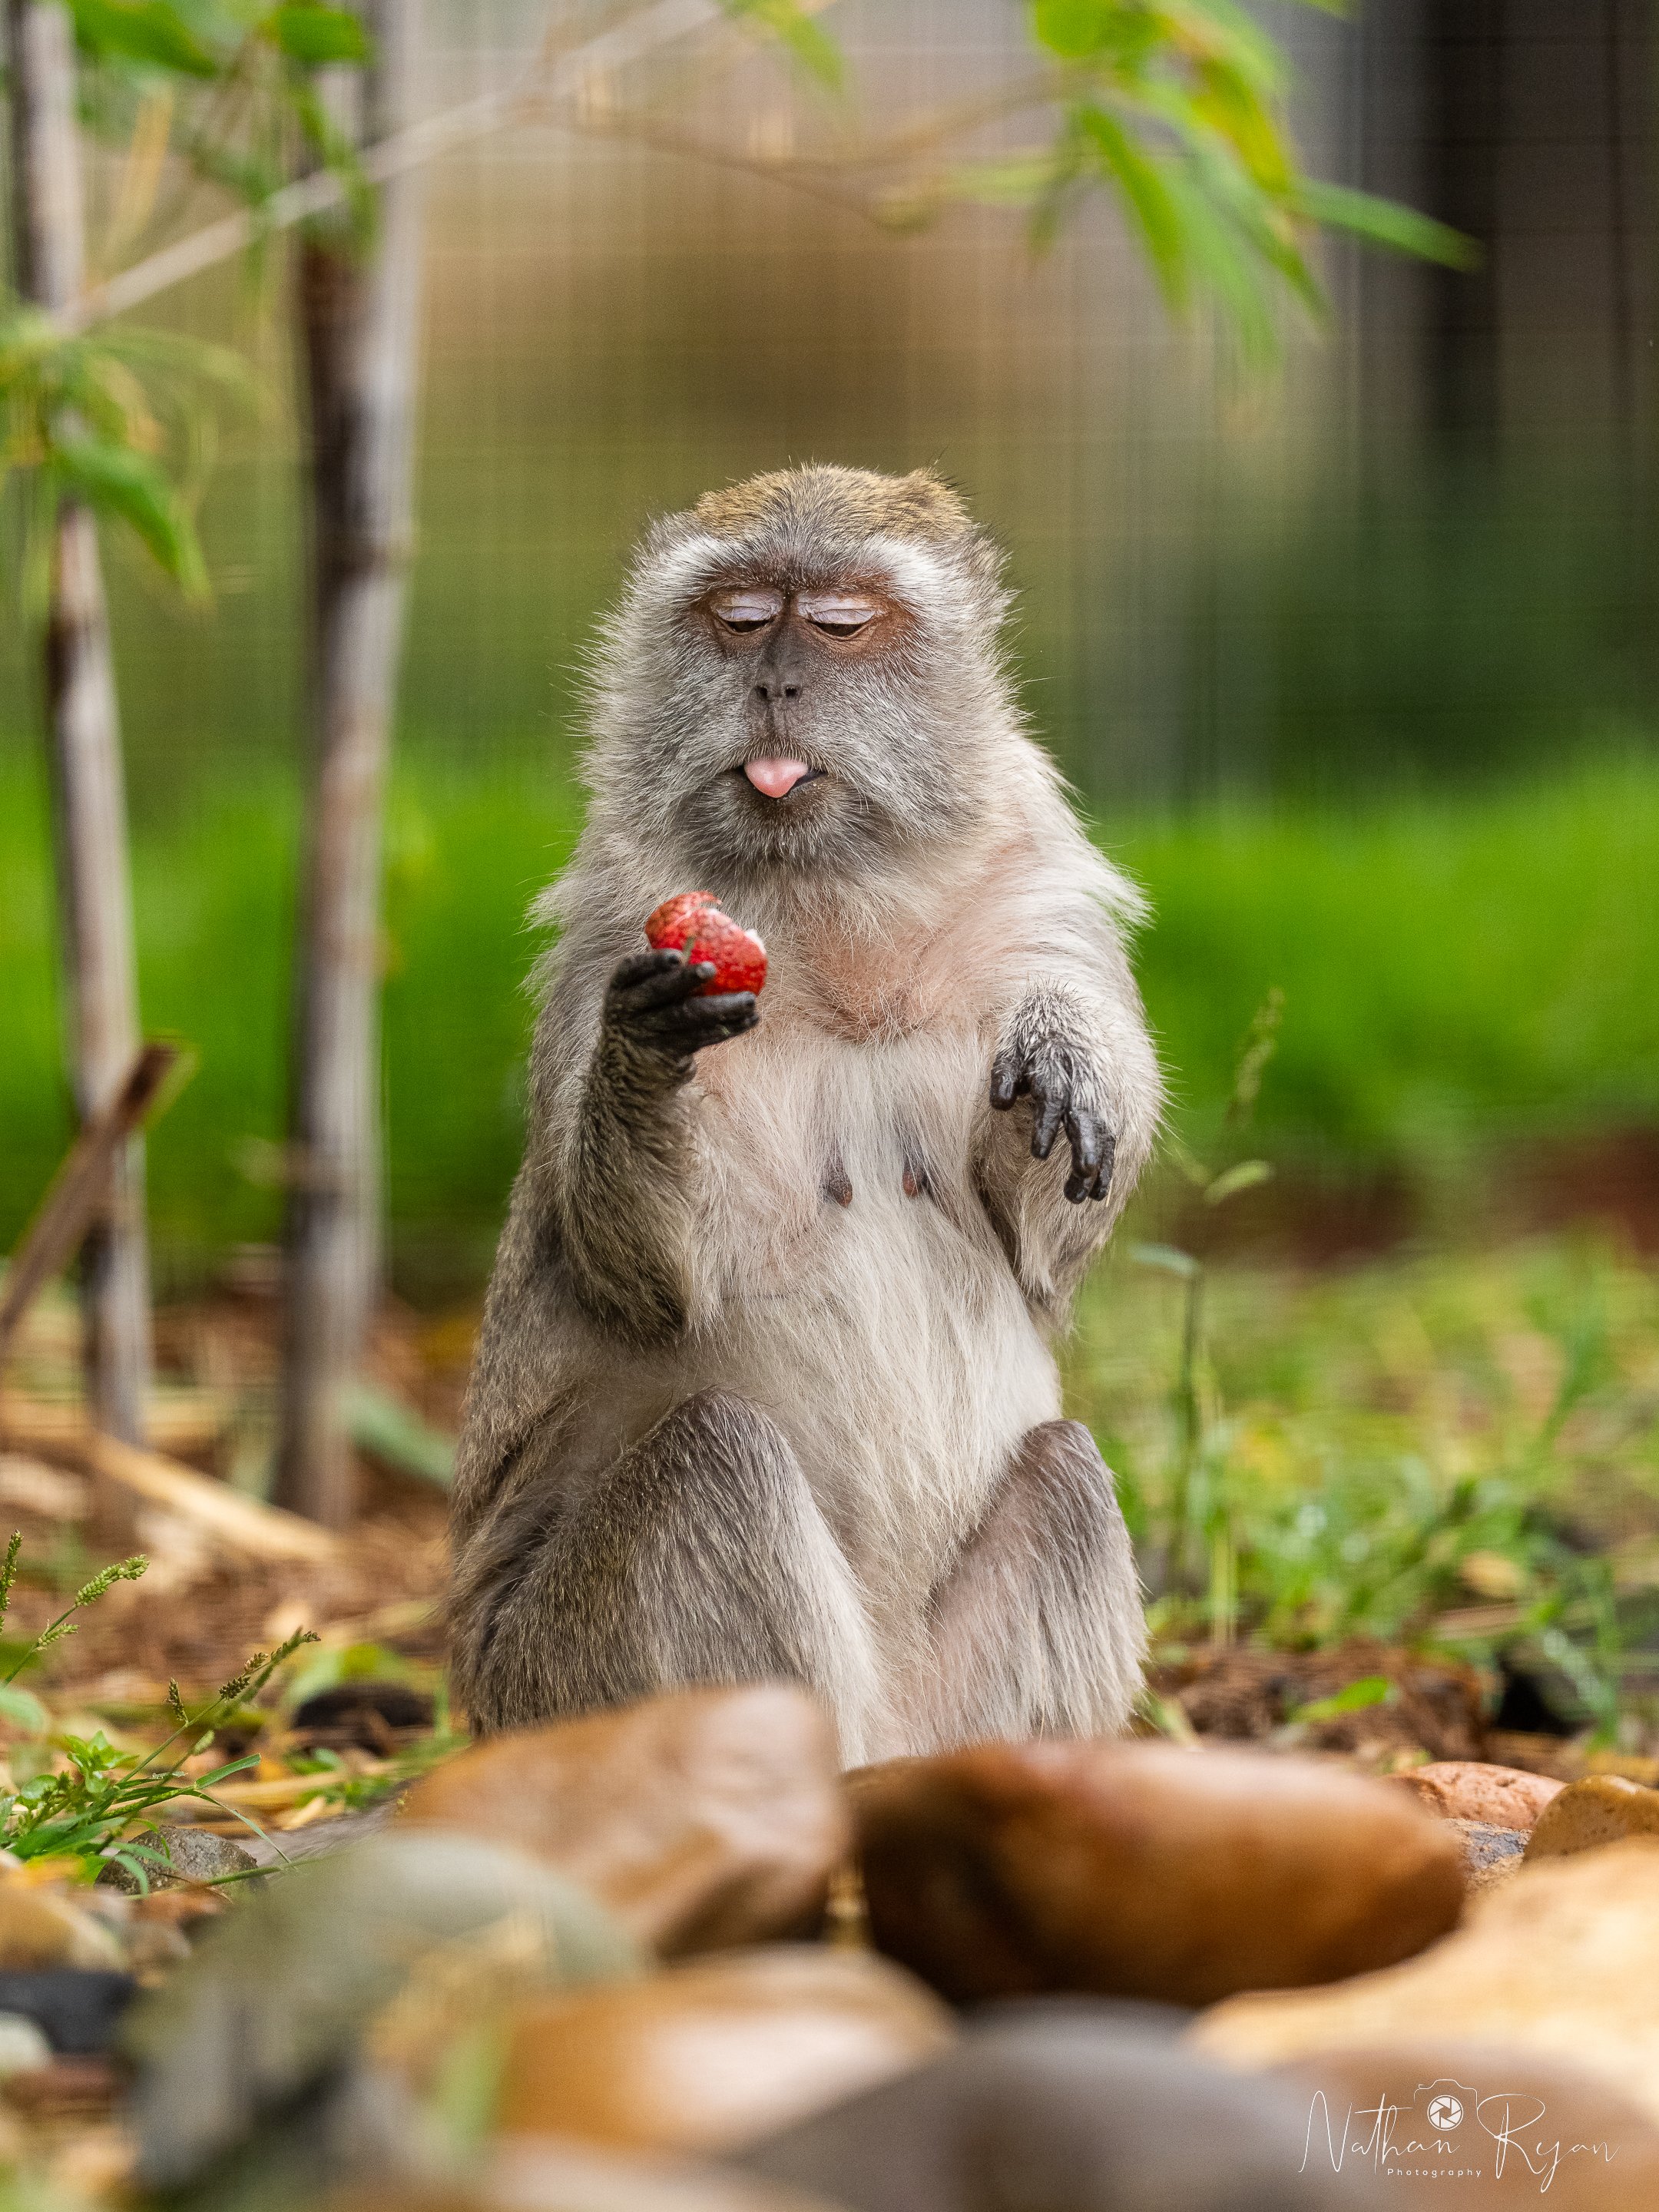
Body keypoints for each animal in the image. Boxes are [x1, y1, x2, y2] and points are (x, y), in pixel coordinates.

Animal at [449, 464, 1163, 1762]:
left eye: (838, 622)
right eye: (739, 617)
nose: (775, 682)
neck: (835, 919)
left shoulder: (1043, 897)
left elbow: (1048, 1253)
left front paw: (1063, 1056)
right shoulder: (609, 921)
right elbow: (649, 1275)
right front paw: (643, 1055)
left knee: (1068, 1478)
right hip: (550, 1684)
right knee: (714, 1458)